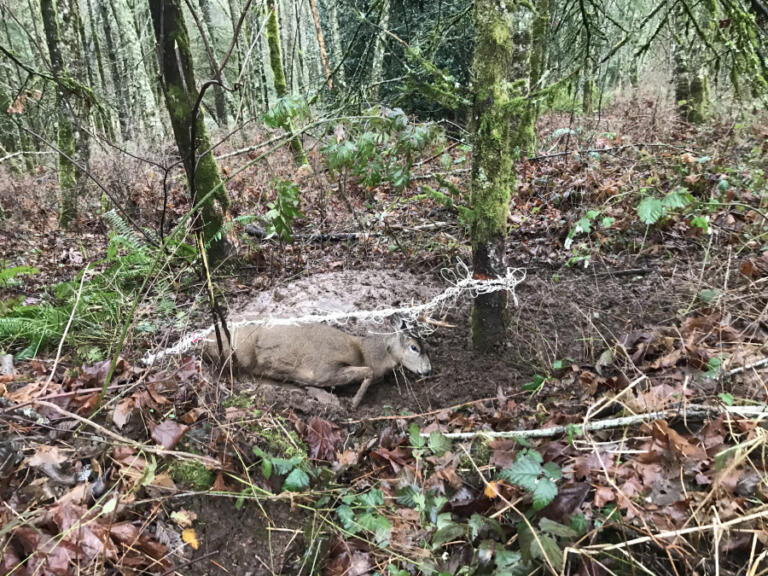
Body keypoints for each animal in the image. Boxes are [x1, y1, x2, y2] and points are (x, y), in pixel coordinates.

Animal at [202, 320, 432, 410]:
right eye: (414, 347)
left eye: (426, 346)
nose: (428, 370)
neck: (367, 354)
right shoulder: (324, 370)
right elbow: (367, 372)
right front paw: (353, 403)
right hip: (242, 352)